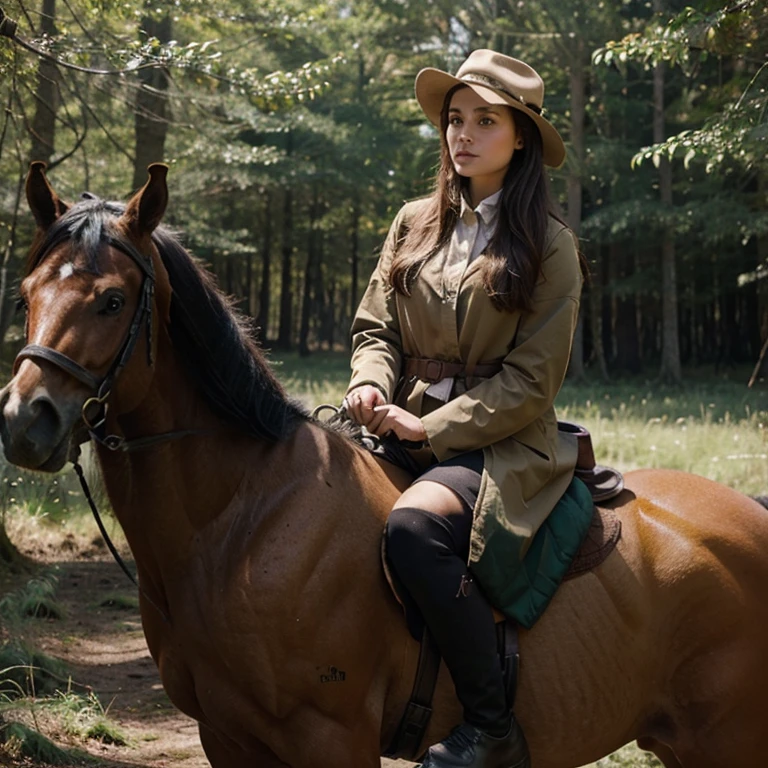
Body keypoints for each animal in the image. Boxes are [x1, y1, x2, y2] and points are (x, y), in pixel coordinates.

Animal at [1, 164, 768, 768]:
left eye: (112, 299)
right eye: (27, 291)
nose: (23, 421)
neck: (241, 524)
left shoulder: (329, 737)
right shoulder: (227, 736)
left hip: (727, 743)